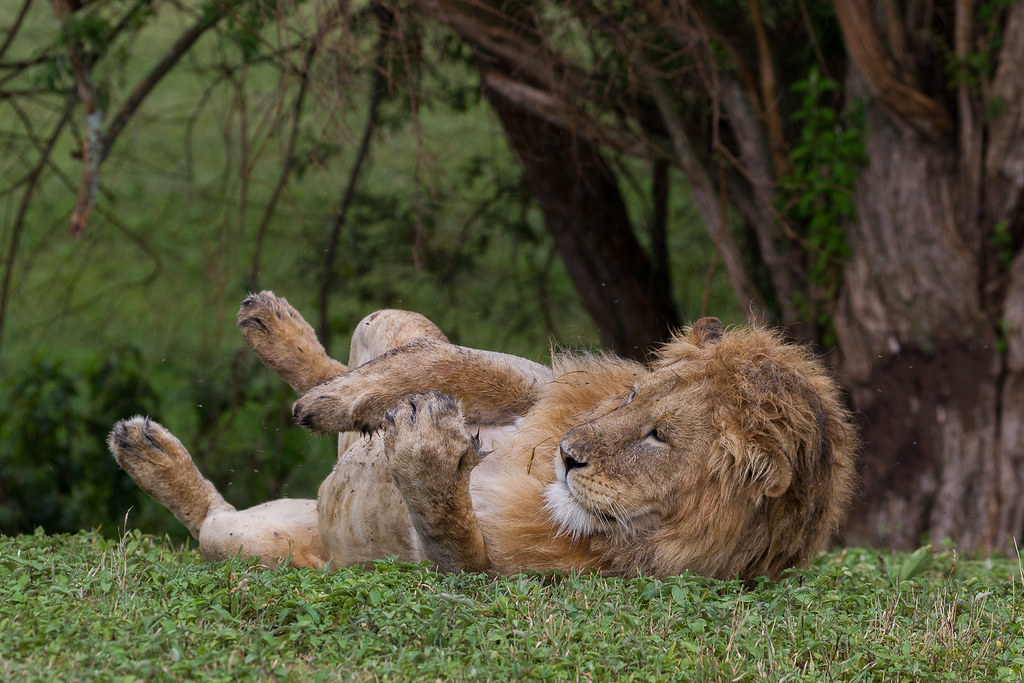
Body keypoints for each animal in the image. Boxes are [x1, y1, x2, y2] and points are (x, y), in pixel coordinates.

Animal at [108, 291, 857, 580]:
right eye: (634, 396)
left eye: (659, 437)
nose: (568, 455)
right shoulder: (540, 387)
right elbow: (464, 365)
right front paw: (334, 401)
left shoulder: (499, 576)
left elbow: (451, 536)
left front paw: (424, 451)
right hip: (394, 324)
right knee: (386, 346)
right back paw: (275, 331)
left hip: (257, 541)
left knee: (213, 518)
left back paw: (144, 450)